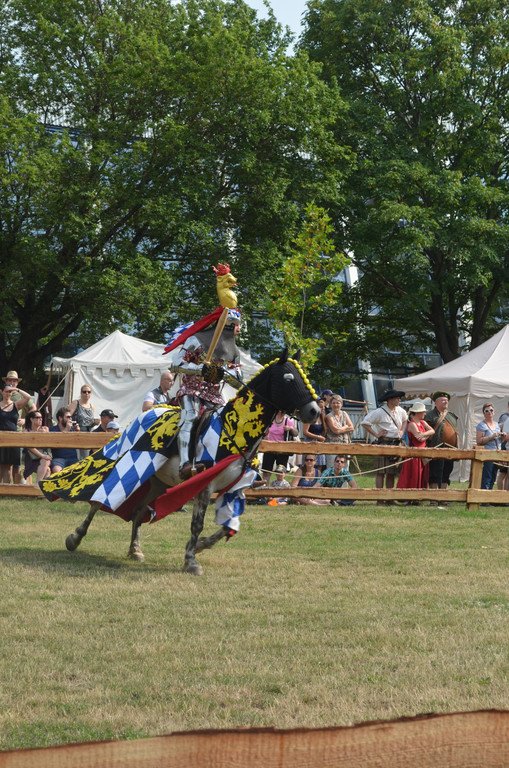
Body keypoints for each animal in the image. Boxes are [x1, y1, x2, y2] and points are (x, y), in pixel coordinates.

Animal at [47, 351, 319, 575]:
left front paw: (198, 547)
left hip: (157, 482)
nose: (315, 412)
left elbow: (228, 528)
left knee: (138, 511)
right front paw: (191, 560)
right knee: (97, 500)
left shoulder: (235, 489)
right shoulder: (205, 485)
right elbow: (197, 524)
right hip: (126, 466)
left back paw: (135, 549)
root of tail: (148, 412)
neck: (235, 429)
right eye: (288, 378)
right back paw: (75, 538)